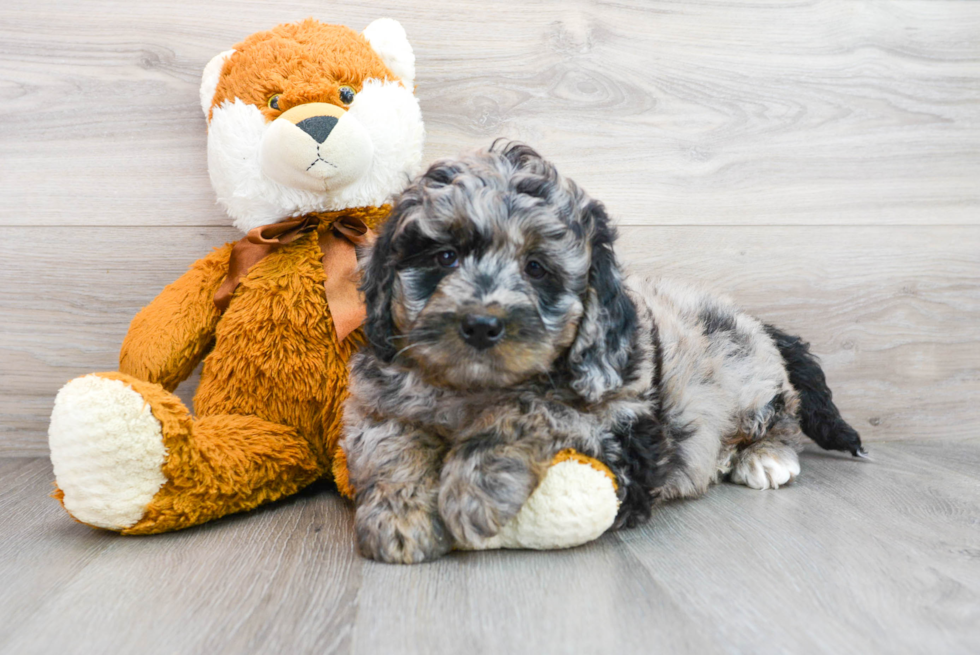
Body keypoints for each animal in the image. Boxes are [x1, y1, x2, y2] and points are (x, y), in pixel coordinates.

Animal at [338, 144, 864, 564]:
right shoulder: (375, 402)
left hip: (749, 376)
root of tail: (756, 322)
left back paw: (764, 457)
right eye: (445, 257)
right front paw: (400, 516)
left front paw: (474, 490)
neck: (474, 388)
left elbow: (533, 407)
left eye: (536, 267)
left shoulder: (623, 434)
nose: (482, 326)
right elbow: (390, 444)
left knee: (782, 413)